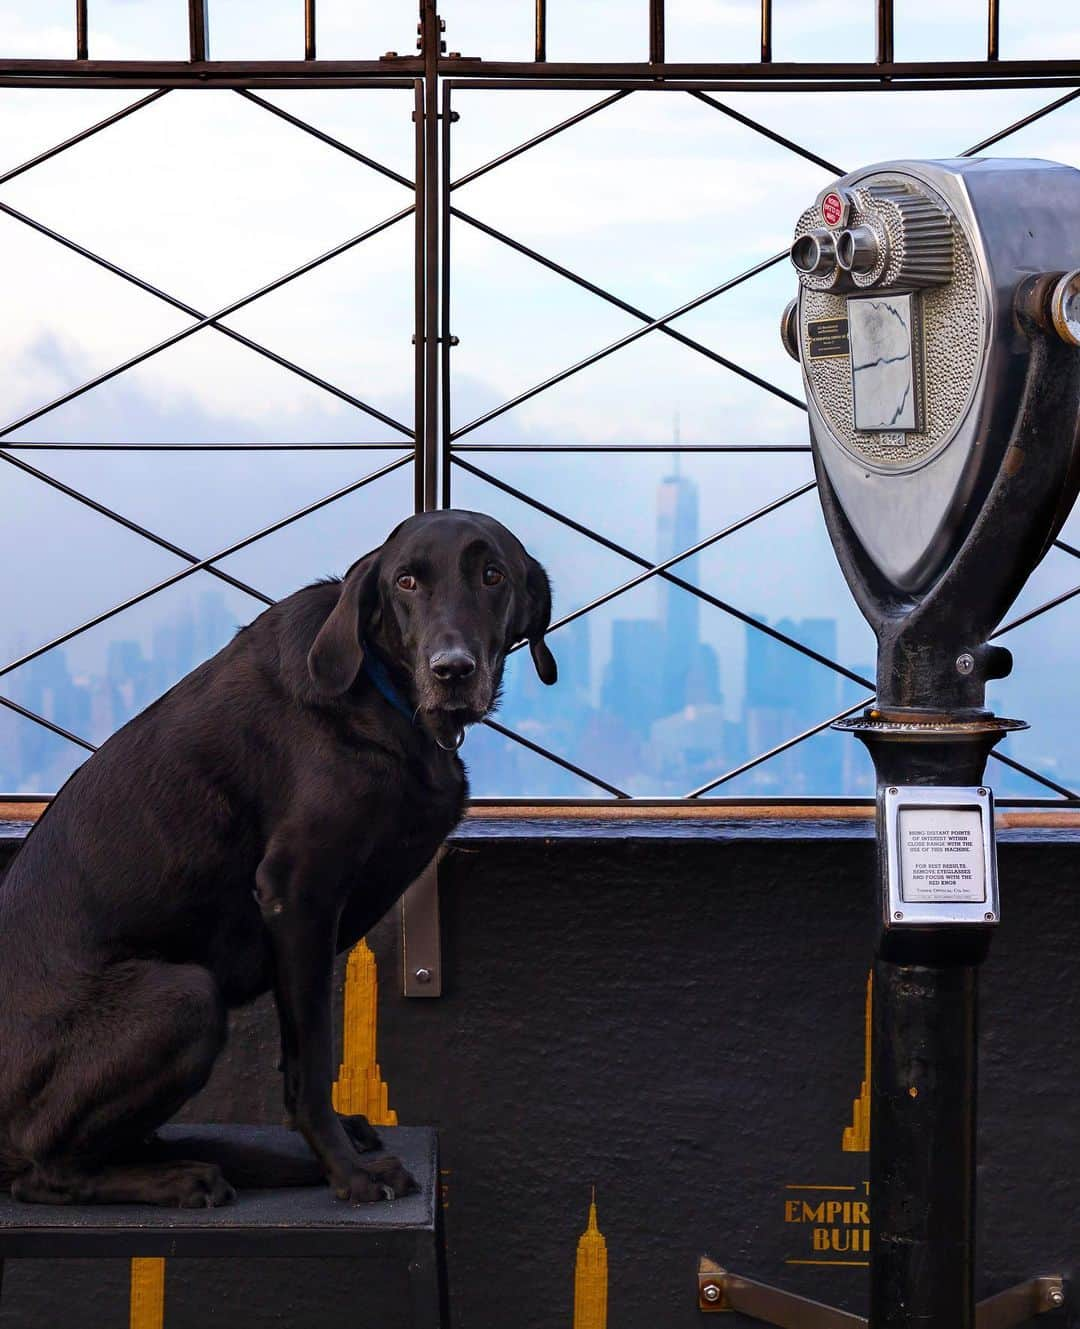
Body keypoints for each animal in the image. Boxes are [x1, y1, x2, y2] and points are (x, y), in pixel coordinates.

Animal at [0, 507, 555, 1206]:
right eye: (406, 581)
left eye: (492, 575)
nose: (451, 669)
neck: (379, 693)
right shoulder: (298, 894)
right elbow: (311, 1058)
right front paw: (345, 1173)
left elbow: (298, 1053)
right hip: (183, 995)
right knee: (44, 1168)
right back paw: (180, 1178)